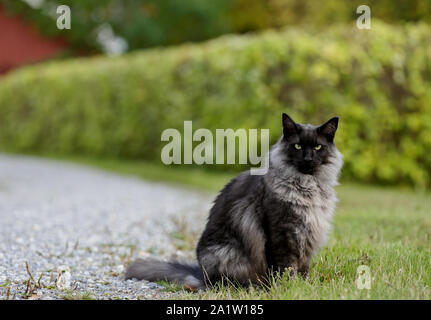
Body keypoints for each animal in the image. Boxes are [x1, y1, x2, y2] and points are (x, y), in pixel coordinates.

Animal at [125, 113, 344, 290]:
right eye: (297, 146)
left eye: (318, 147)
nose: (307, 159)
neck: (307, 188)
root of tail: (201, 274)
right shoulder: (281, 233)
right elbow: (285, 268)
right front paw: (287, 288)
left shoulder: (307, 236)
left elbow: (303, 268)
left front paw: (304, 286)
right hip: (226, 253)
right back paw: (254, 287)